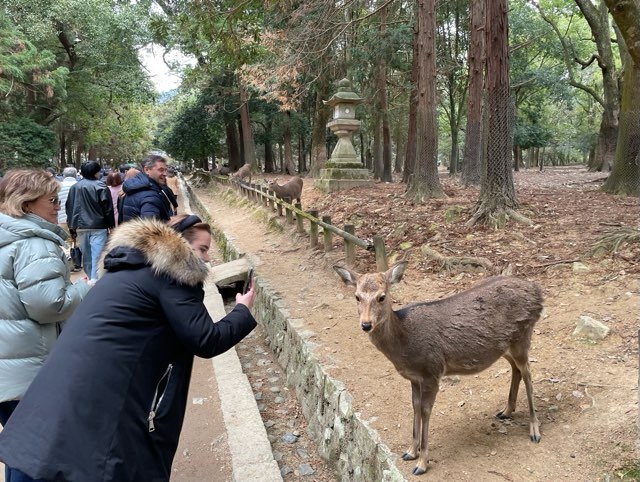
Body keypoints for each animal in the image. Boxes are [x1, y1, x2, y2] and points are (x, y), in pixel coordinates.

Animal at [332, 260, 544, 474]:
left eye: (381, 297)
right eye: (357, 296)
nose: (366, 324)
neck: (404, 344)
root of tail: (538, 293)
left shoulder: (432, 371)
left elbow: (426, 411)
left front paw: (421, 463)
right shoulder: (414, 377)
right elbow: (415, 406)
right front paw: (410, 452)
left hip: (522, 335)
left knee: (528, 373)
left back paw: (535, 430)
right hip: (505, 346)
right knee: (517, 369)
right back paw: (506, 411)